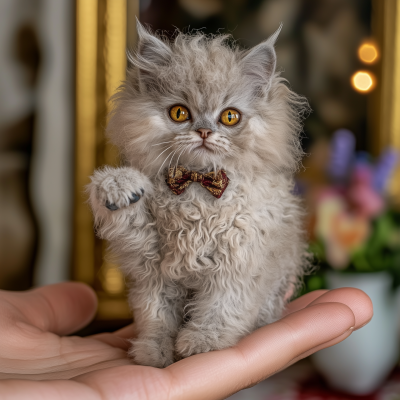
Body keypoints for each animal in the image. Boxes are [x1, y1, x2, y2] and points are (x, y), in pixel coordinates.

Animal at [89, 20, 310, 368]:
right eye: (180, 113)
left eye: (230, 117)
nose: (205, 132)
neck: (196, 187)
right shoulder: (150, 264)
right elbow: (156, 318)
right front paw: (154, 352)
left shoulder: (239, 263)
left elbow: (221, 308)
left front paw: (202, 342)